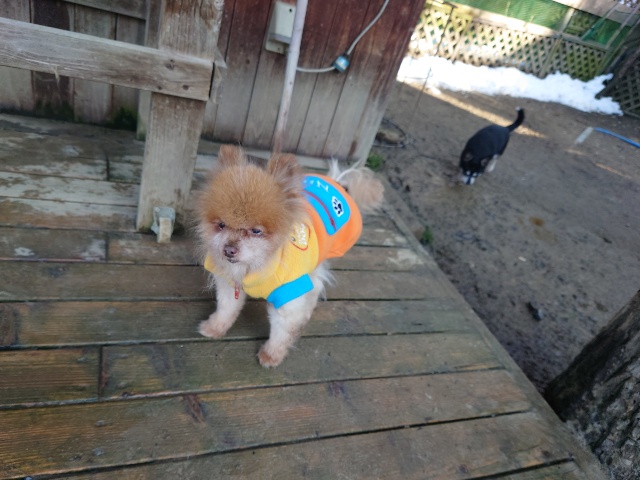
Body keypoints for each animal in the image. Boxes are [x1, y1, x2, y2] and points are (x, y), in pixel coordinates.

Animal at [196, 145, 384, 367]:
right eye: (221, 225)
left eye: (256, 231)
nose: (229, 249)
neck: (256, 266)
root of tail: (338, 183)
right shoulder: (229, 284)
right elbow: (226, 308)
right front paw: (215, 327)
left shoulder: (288, 296)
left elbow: (281, 331)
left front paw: (271, 355)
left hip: (317, 261)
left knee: (315, 286)